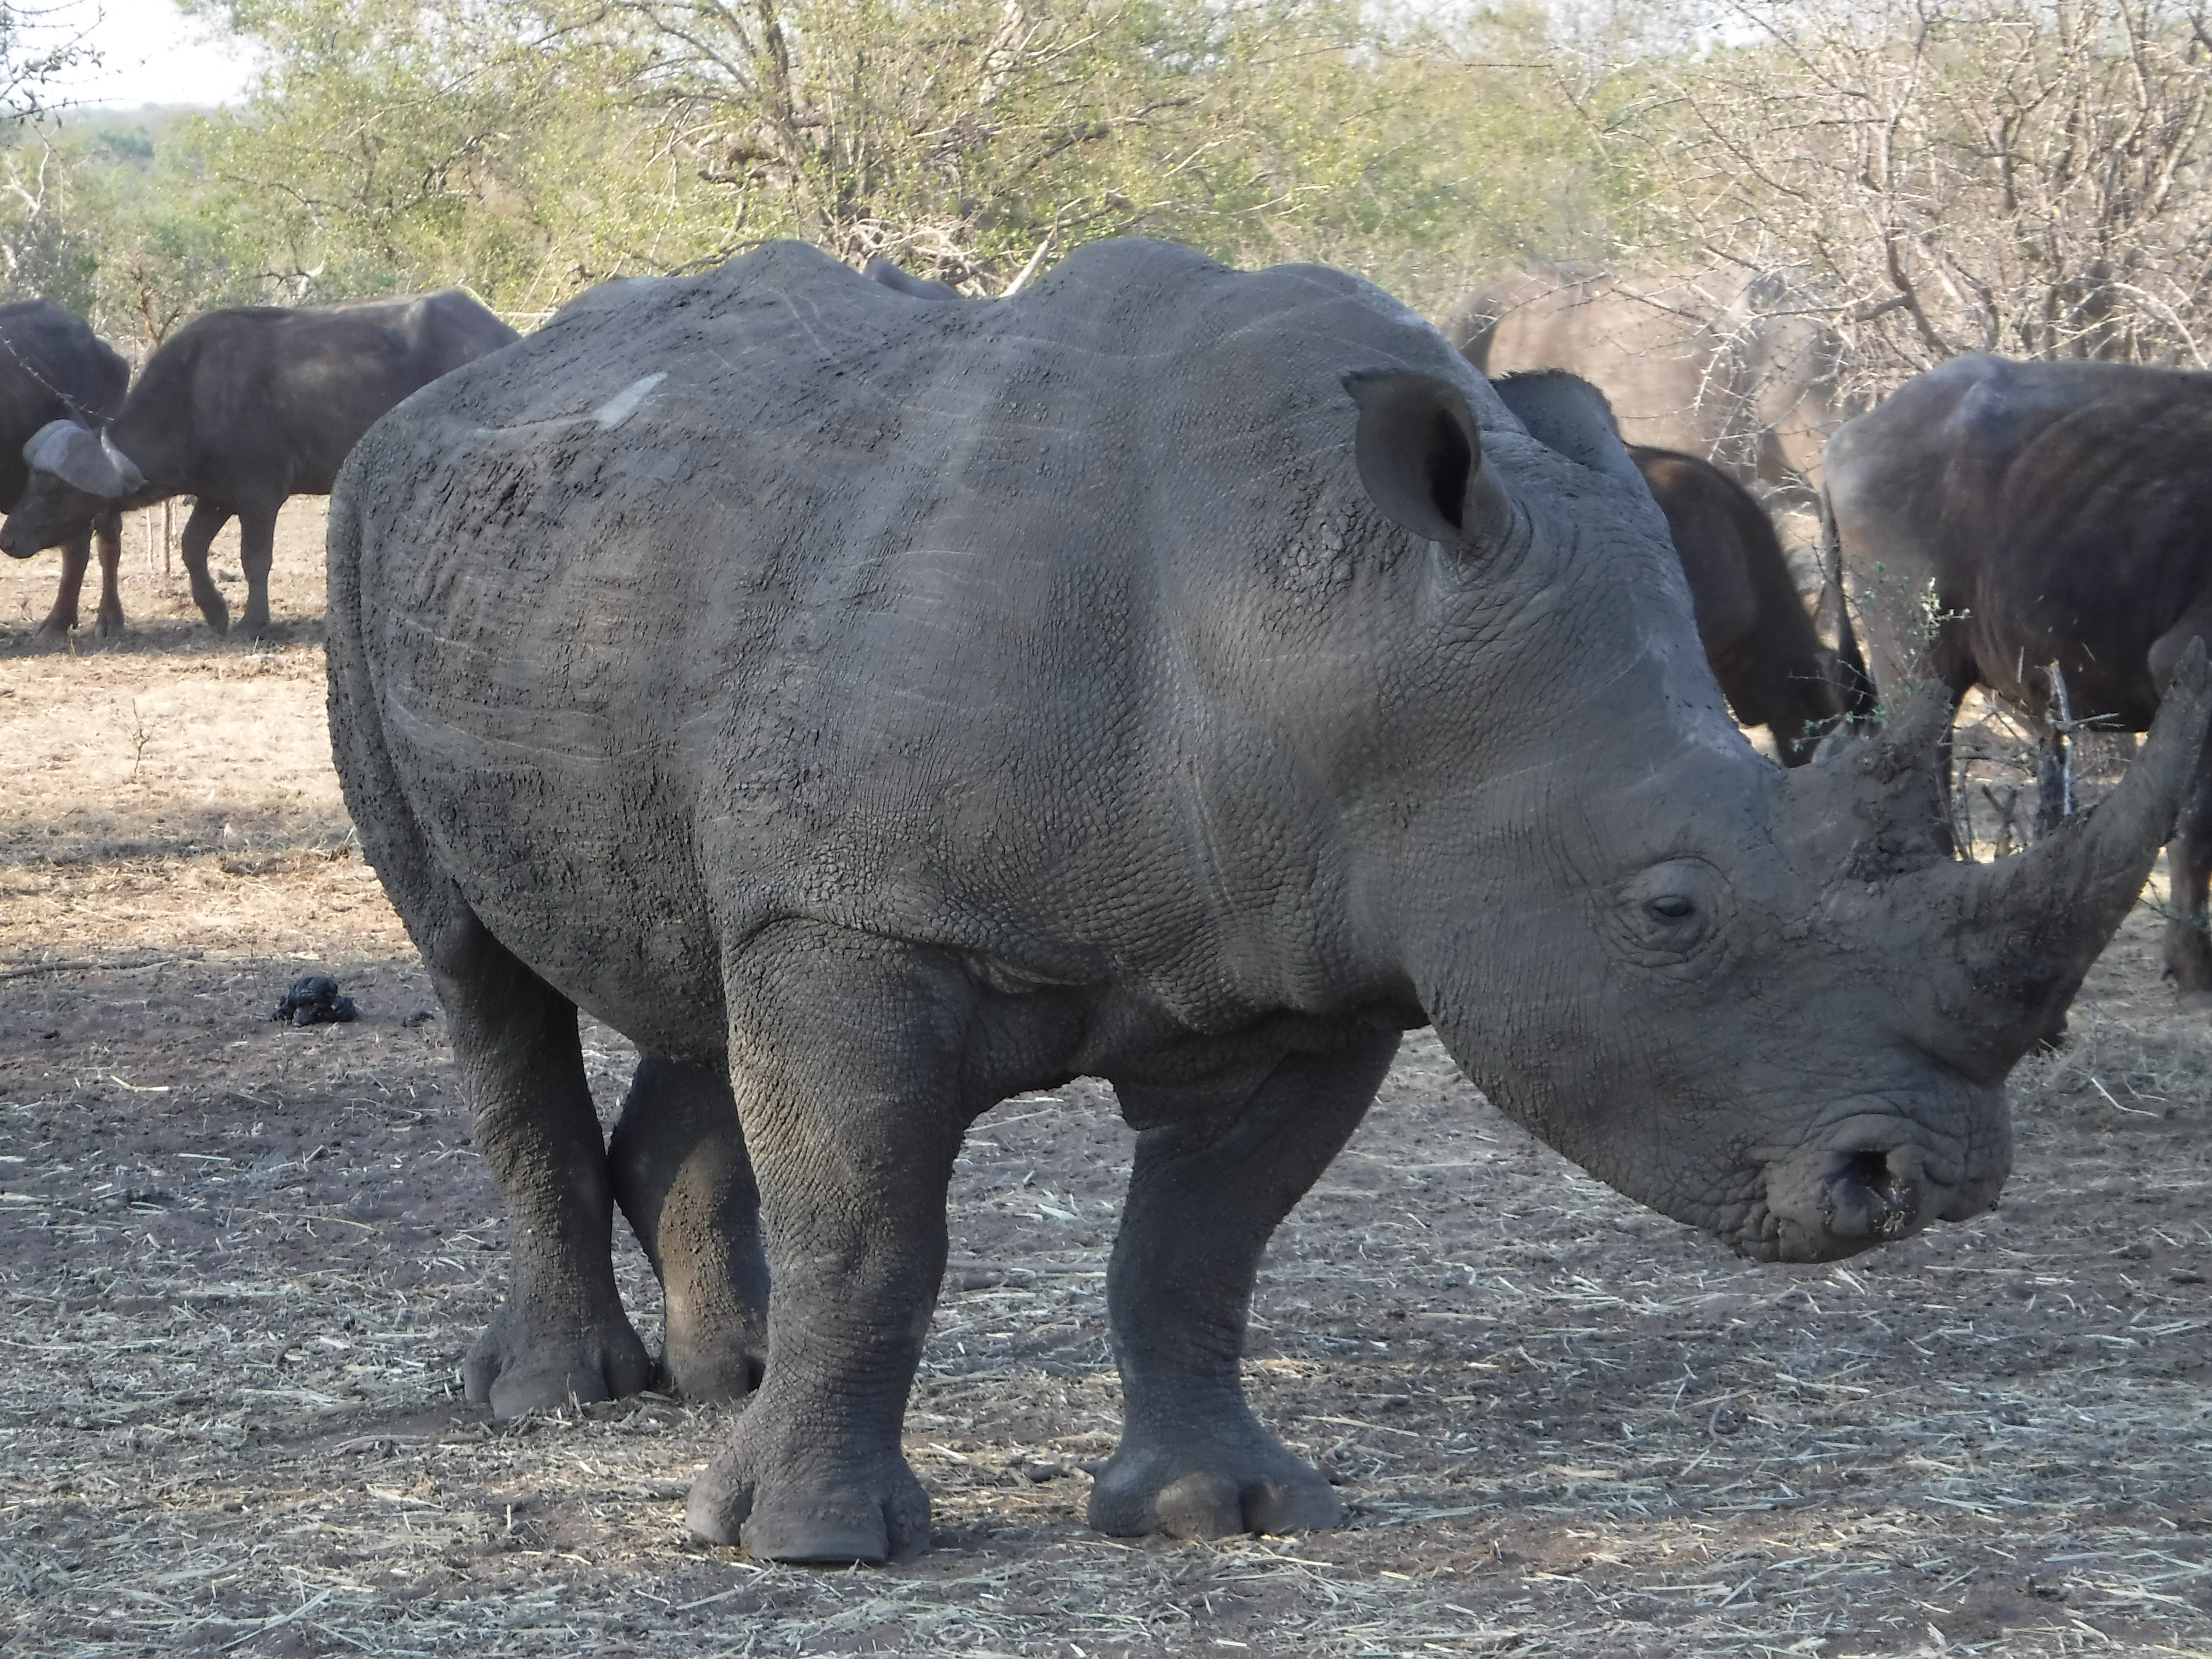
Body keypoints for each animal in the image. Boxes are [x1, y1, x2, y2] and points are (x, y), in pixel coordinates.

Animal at [325, 239, 2209, 1567]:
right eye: (1669, 910)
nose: (1925, 1180)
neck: (1316, 623)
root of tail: (474, 385)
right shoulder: (868, 917)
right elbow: (877, 1228)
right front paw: (807, 1546)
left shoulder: (1319, 964)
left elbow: (1198, 1244)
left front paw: (1209, 1514)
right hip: (367, 525)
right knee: (476, 968)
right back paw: (562, 1401)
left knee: (692, 952)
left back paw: (728, 1377)